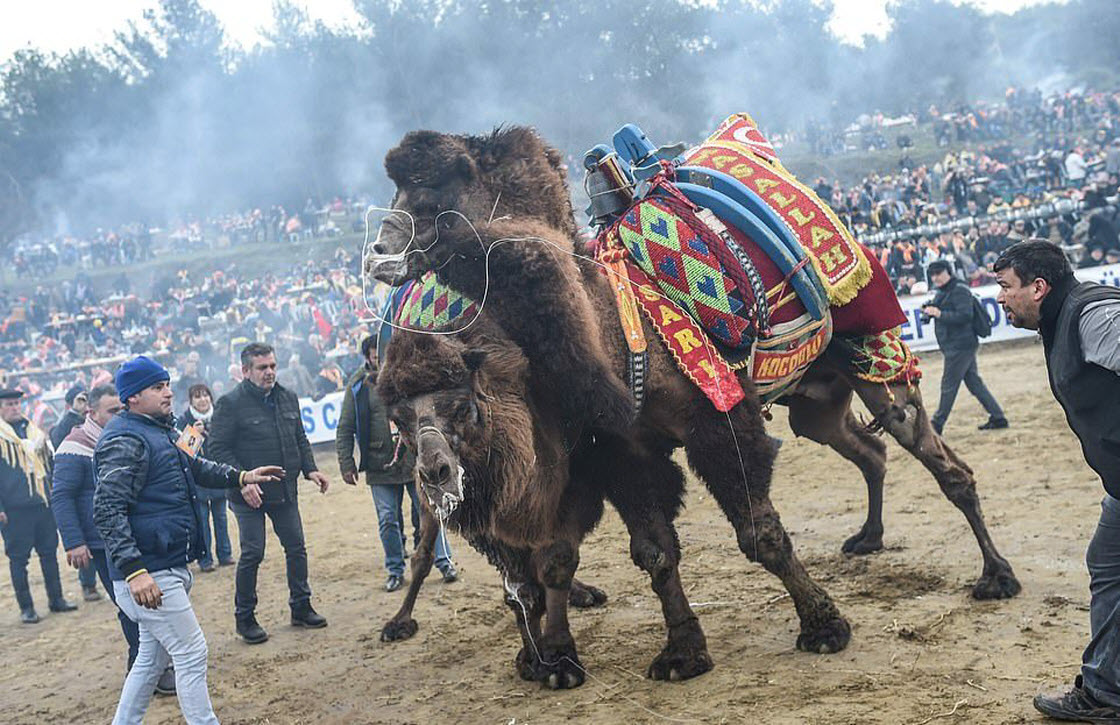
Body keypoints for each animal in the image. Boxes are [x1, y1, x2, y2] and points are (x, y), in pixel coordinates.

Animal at [367, 127, 1025, 690]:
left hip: (871, 353)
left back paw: (996, 576)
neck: (613, 327)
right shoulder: (625, 450)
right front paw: (682, 652)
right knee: (868, 450)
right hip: (815, 401)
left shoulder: (717, 416)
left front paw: (823, 626)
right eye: (396, 419)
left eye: (429, 193)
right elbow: (654, 553)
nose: (376, 251)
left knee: (935, 456)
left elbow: (759, 534)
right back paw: (868, 537)